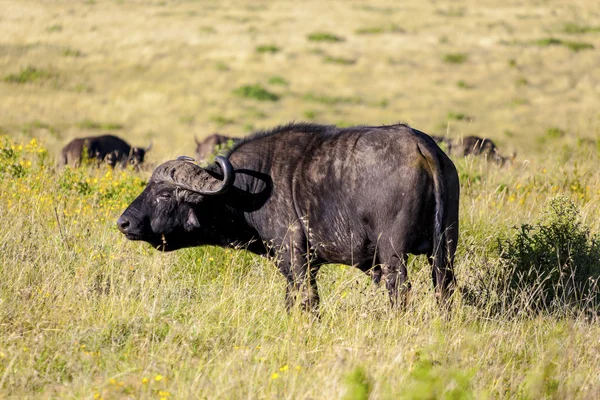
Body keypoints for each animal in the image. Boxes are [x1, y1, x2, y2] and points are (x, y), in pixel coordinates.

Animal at [119, 123, 462, 310]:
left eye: (165, 194)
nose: (124, 223)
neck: (247, 190)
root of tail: (419, 145)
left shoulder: (294, 259)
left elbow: (307, 301)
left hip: (393, 254)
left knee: (400, 292)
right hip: (445, 249)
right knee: (444, 288)